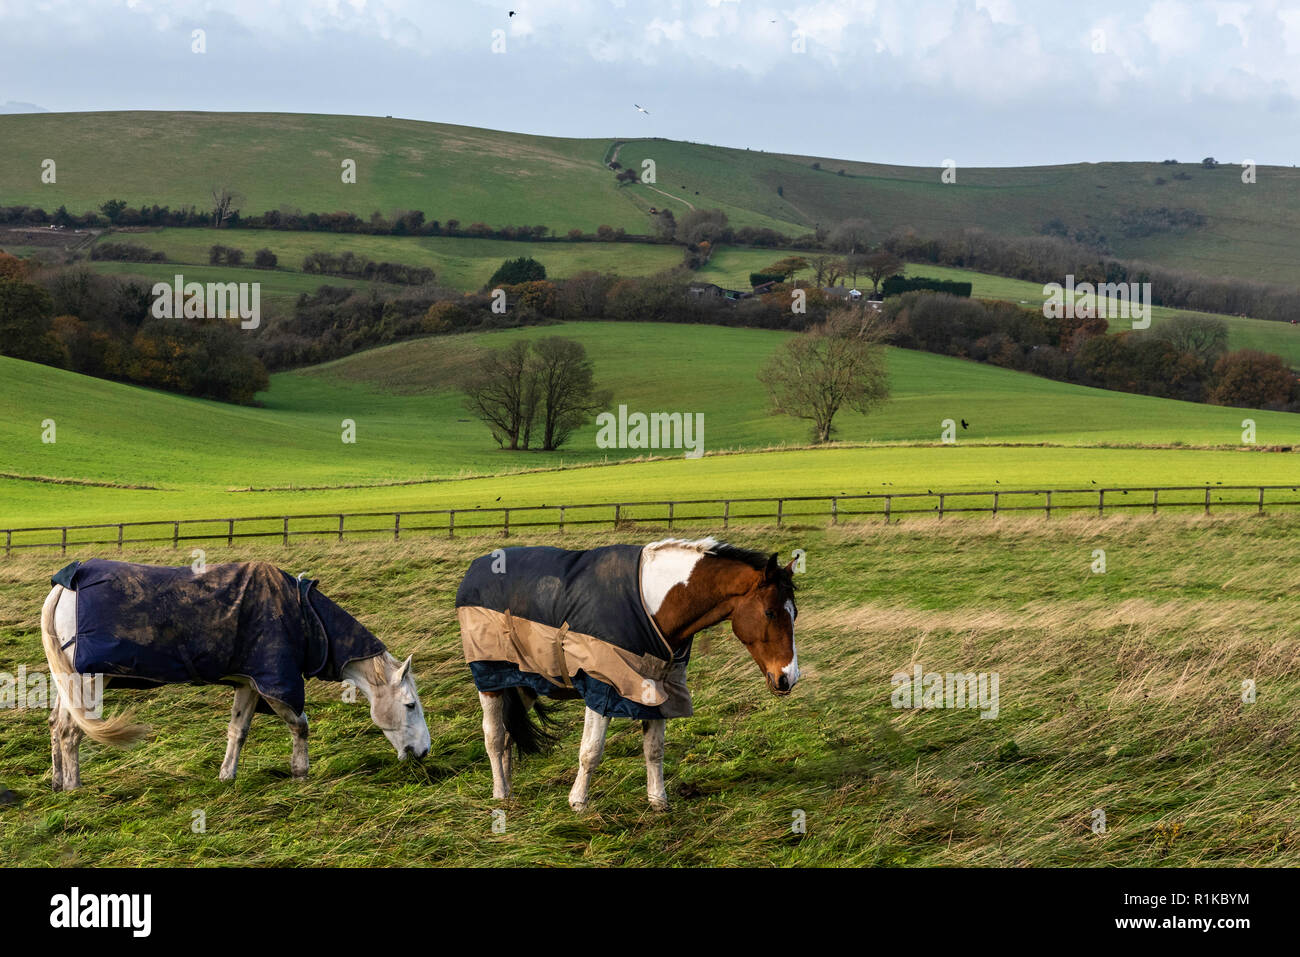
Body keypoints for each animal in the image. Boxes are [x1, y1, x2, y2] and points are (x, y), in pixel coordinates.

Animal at [39, 558, 431, 790]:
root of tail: (64, 586)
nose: (424, 751)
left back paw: (58, 782)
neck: (304, 613)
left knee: (56, 725)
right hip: (87, 681)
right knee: (70, 732)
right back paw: (74, 786)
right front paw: (300, 772)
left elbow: (238, 731)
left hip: (69, 682)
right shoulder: (277, 683)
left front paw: (227, 775)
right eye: (410, 705)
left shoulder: (249, 683)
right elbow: (300, 725)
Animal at [456, 537, 798, 811]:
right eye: (770, 612)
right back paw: (500, 793)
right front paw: (578, 802)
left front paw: (658, 801)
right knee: (494, 736)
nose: (788, 677)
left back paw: (508, 787)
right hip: (489, 677)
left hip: (522, 682)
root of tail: (476, 568)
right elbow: (590, 751)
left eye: (794, 613)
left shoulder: (659, 689)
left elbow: (654, 750)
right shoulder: (603, 688)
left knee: (508, 734)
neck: (653, 604)